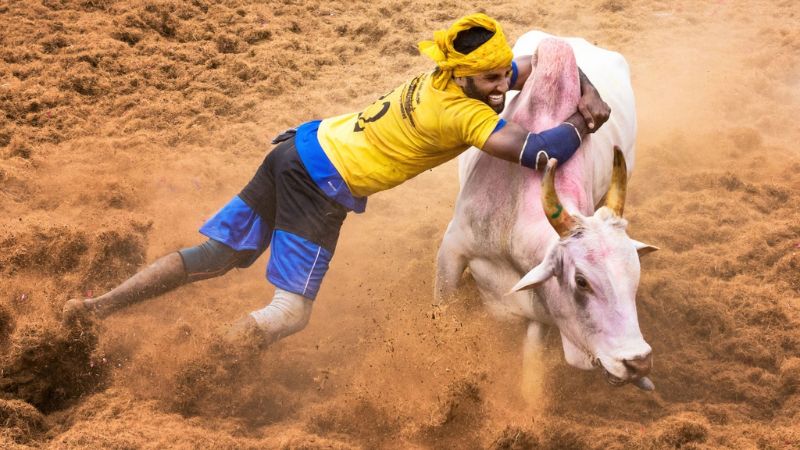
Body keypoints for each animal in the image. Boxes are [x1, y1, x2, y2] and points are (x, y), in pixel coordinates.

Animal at [438, 30, 656, 390]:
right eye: (581, 281)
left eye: (635, 274)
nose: (637, 362)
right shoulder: (452, 249)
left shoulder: (540, 310)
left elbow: (531, 372)